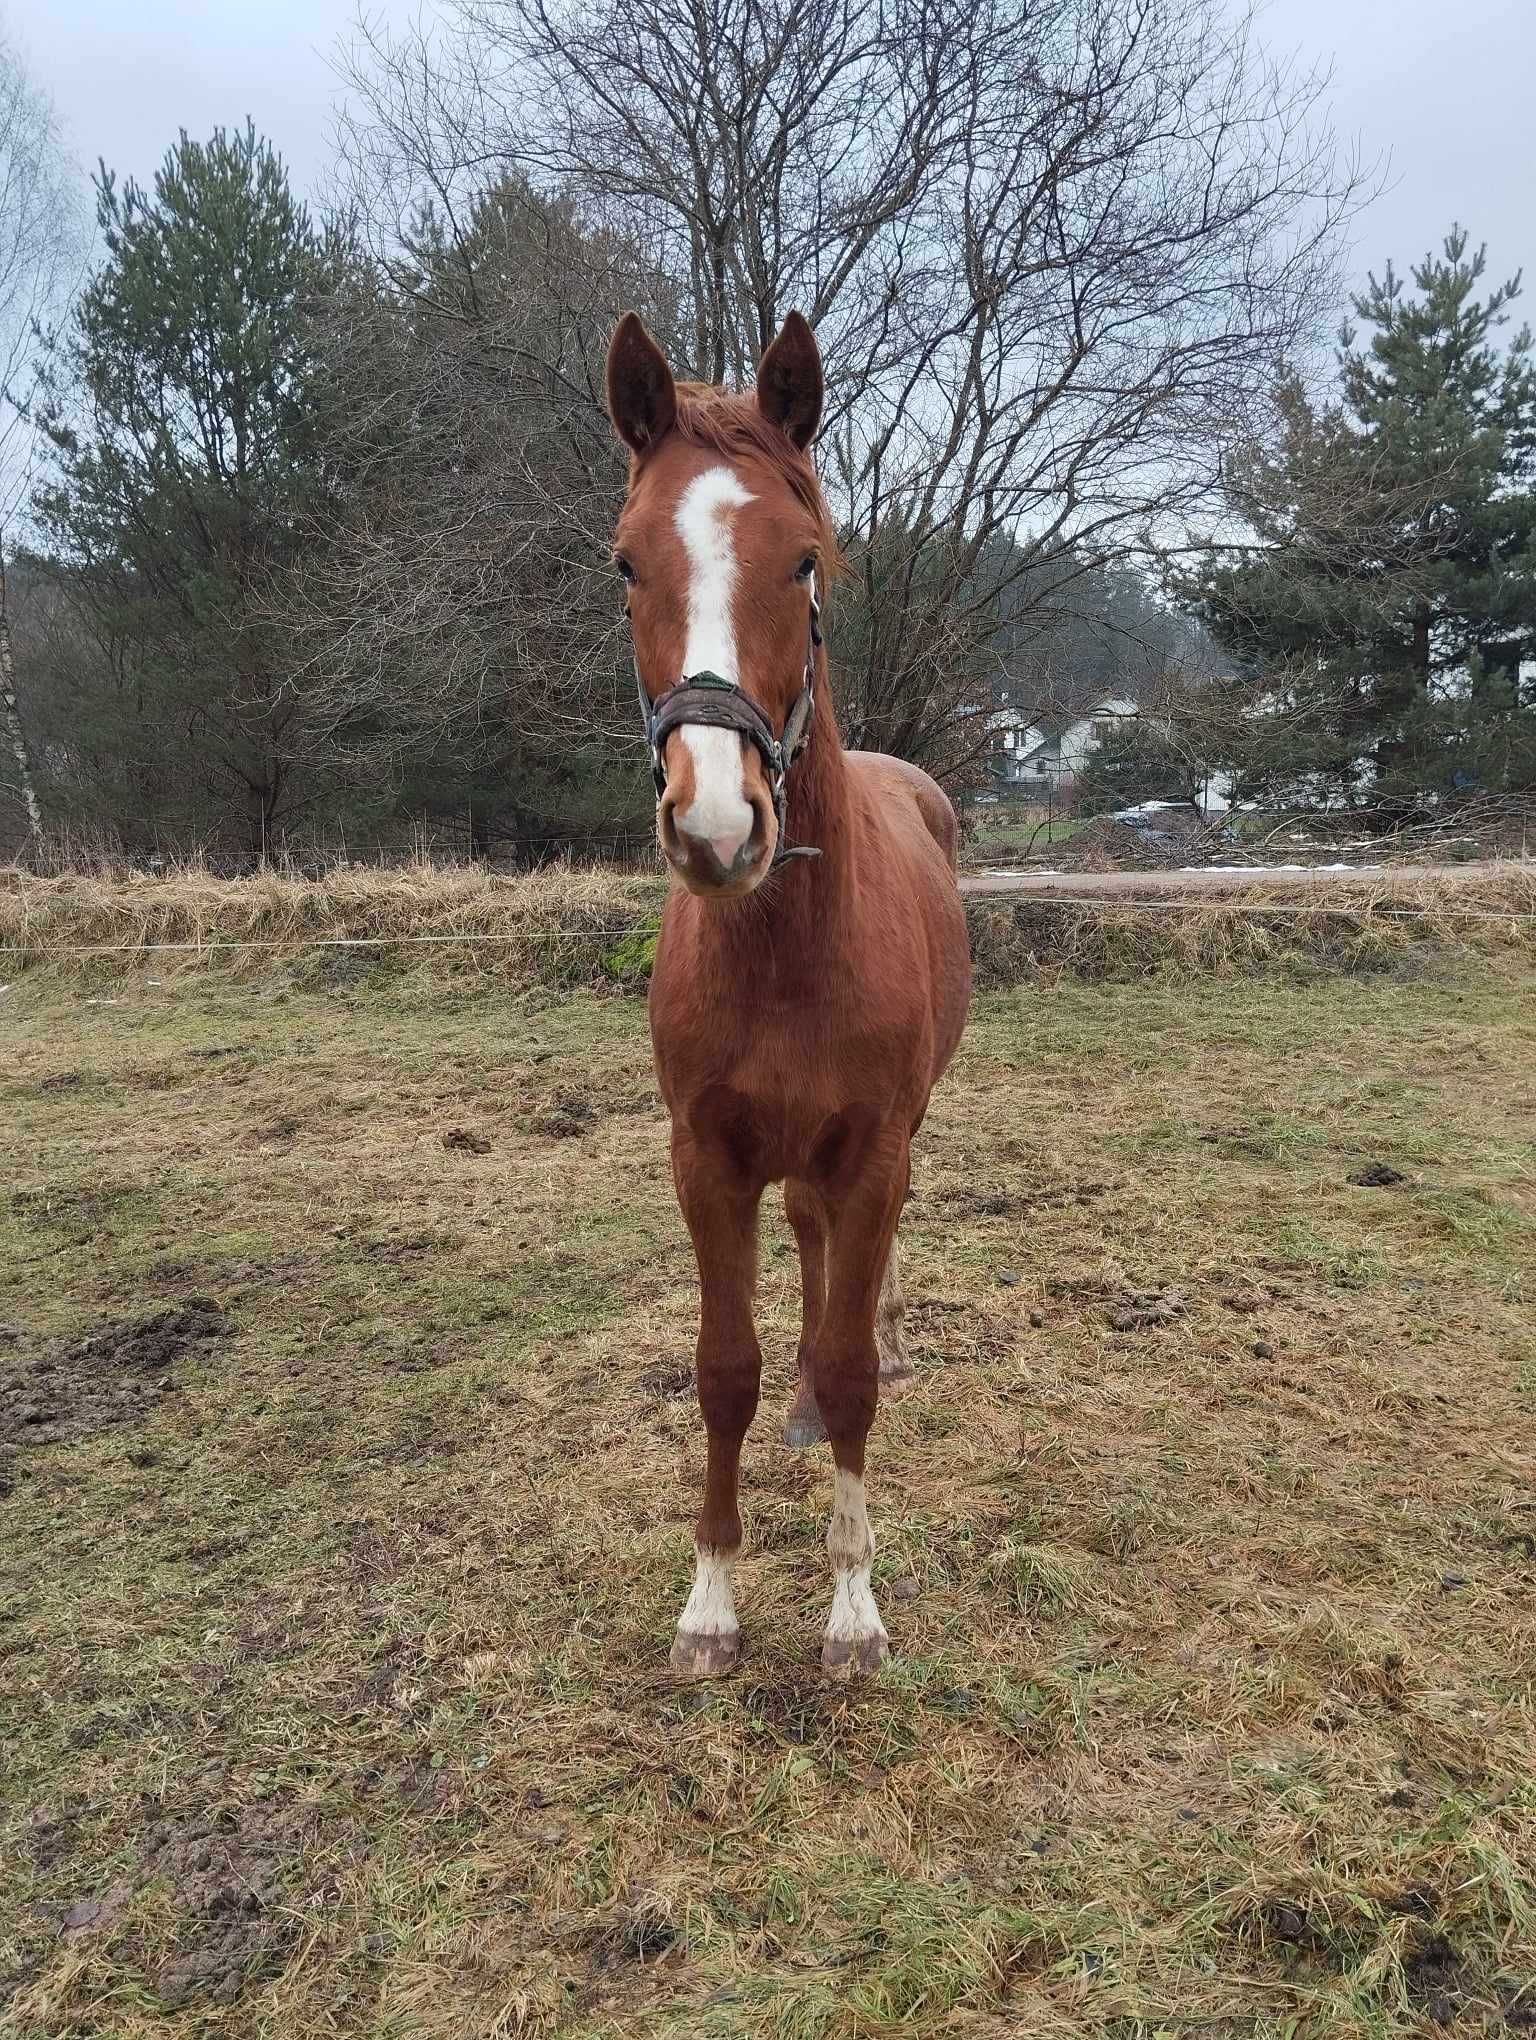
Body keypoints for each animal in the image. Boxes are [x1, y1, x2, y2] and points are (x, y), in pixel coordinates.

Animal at [603, 306, 962, 1672]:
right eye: (626, 565)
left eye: (804, 562)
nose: (716, 823)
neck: (787, 948)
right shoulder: (707, 1159)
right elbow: (727, 1370)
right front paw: (710, 1598)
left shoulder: (873, 1152)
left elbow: (853, 1368)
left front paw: (853, 1608)